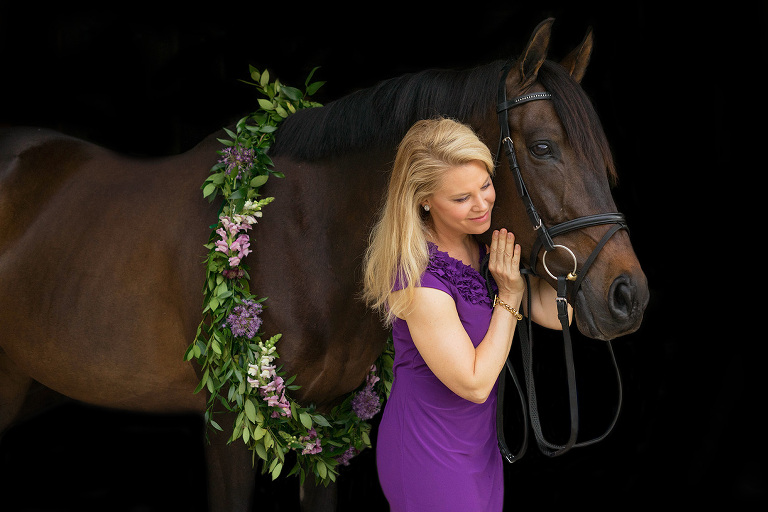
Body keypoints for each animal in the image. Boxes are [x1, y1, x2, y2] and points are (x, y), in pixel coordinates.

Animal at [0, 18, 648, 510]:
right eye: (542, 147)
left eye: (603, 157)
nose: (628, 295)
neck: (303, 236)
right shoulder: (225, 425)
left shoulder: (325, 427)